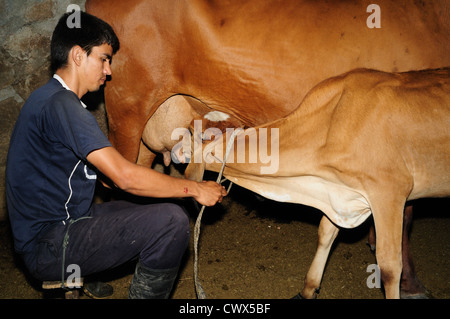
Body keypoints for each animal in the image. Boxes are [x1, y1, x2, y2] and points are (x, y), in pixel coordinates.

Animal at [182, 68, 450, 300]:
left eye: (195, 133)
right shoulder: (339, 195)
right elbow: (325, 233)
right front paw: (308, 289)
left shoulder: (390, 192)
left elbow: (390, 267)